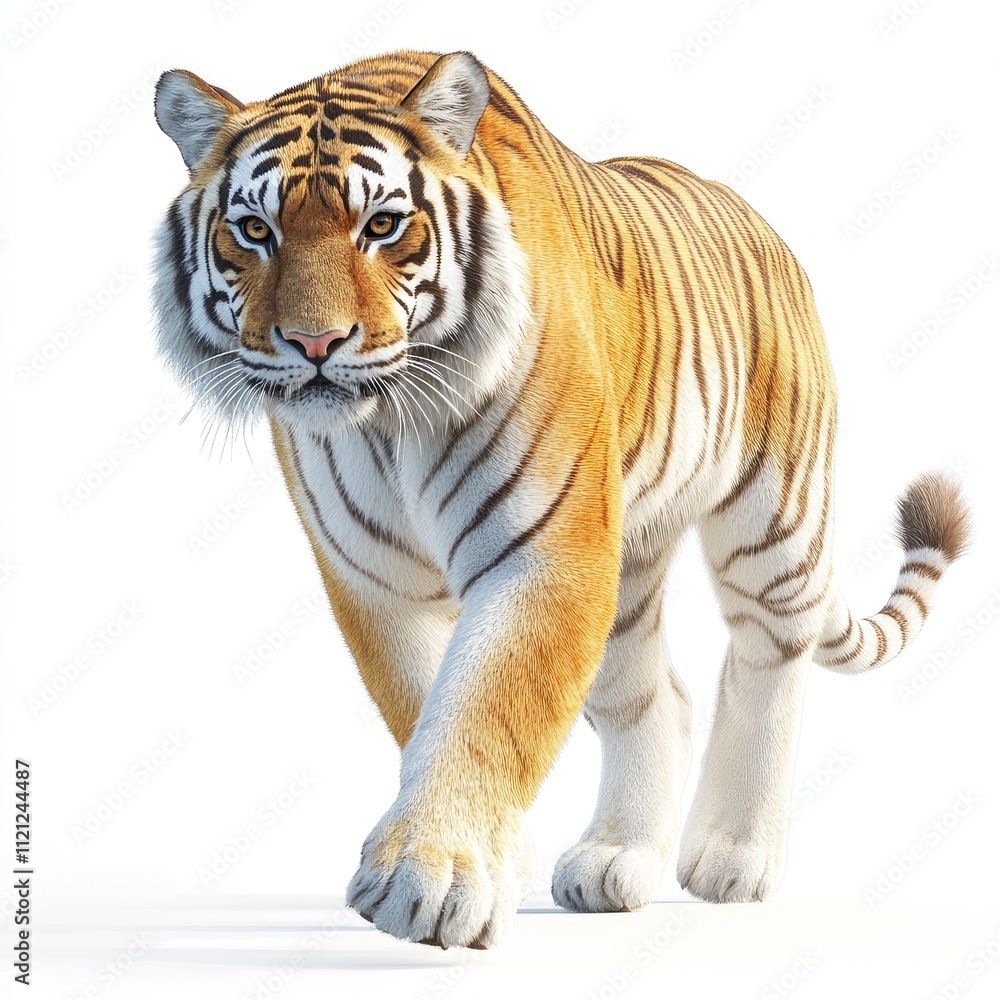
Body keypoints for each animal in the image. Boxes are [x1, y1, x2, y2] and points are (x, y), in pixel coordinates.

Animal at [152, 49, 970, 949]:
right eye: (254, 231)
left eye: (383, 226)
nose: (315, 343)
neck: (389, 423)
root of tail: (761, 224)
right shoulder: (377, 578)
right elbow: (430, 707)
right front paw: (493, 865)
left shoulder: (546, 555)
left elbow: (486, 708)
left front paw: (429, 879)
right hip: (626, 563)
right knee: (659, 697)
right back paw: (617, 861)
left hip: (771, 522)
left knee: (768, 664)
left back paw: (734, 858)